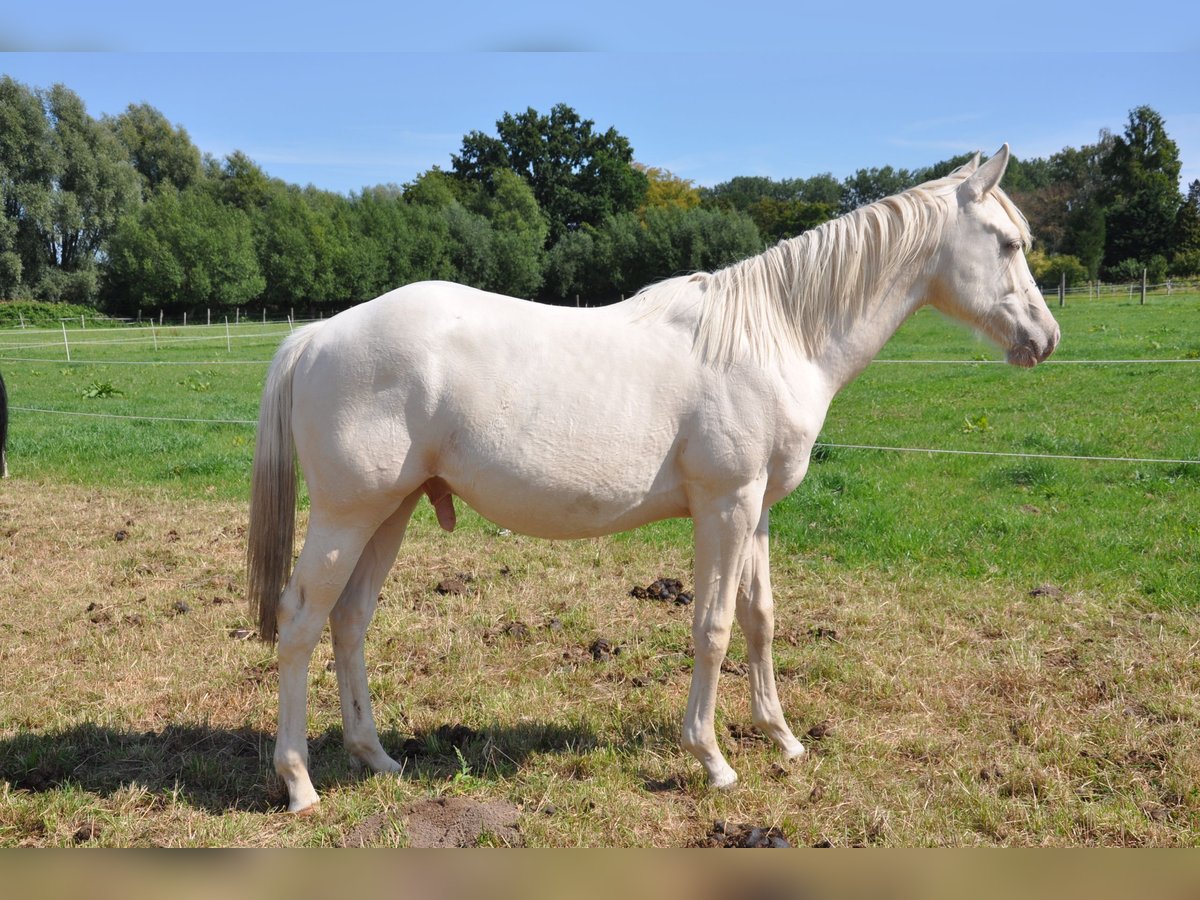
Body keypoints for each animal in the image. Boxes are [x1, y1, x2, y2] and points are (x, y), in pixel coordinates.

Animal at [247, 145, 1059, 813]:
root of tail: (316, 336)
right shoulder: (725, 507)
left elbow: (761, 619)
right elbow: (714, 625)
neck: (776, 335)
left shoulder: (757, 510)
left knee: (350, 621)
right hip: (347, 516)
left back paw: (376, 757)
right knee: (300, 622)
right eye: (1008, 243)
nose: (1045, 339)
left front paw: (783, 737)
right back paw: (299, 783)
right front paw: (712, 759)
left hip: (392, 511)